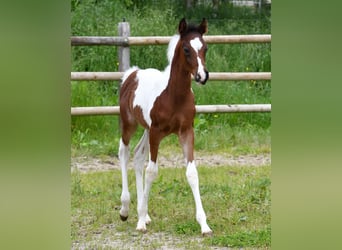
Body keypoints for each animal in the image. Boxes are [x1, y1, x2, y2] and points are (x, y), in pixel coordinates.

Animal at [119, 17, 212, 236]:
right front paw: (140, 221)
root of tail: (132, 73)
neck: (174, 96)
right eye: (186, 49)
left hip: (145, 129)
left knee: (137, 156)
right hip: (129, 124)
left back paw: (142, 212)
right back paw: (126, 210)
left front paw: (204, 225)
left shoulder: (186, 131)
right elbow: (152, 171)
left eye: (205, 47)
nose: (202, 76)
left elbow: (192, 173)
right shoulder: (157, 132)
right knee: (124, 153)